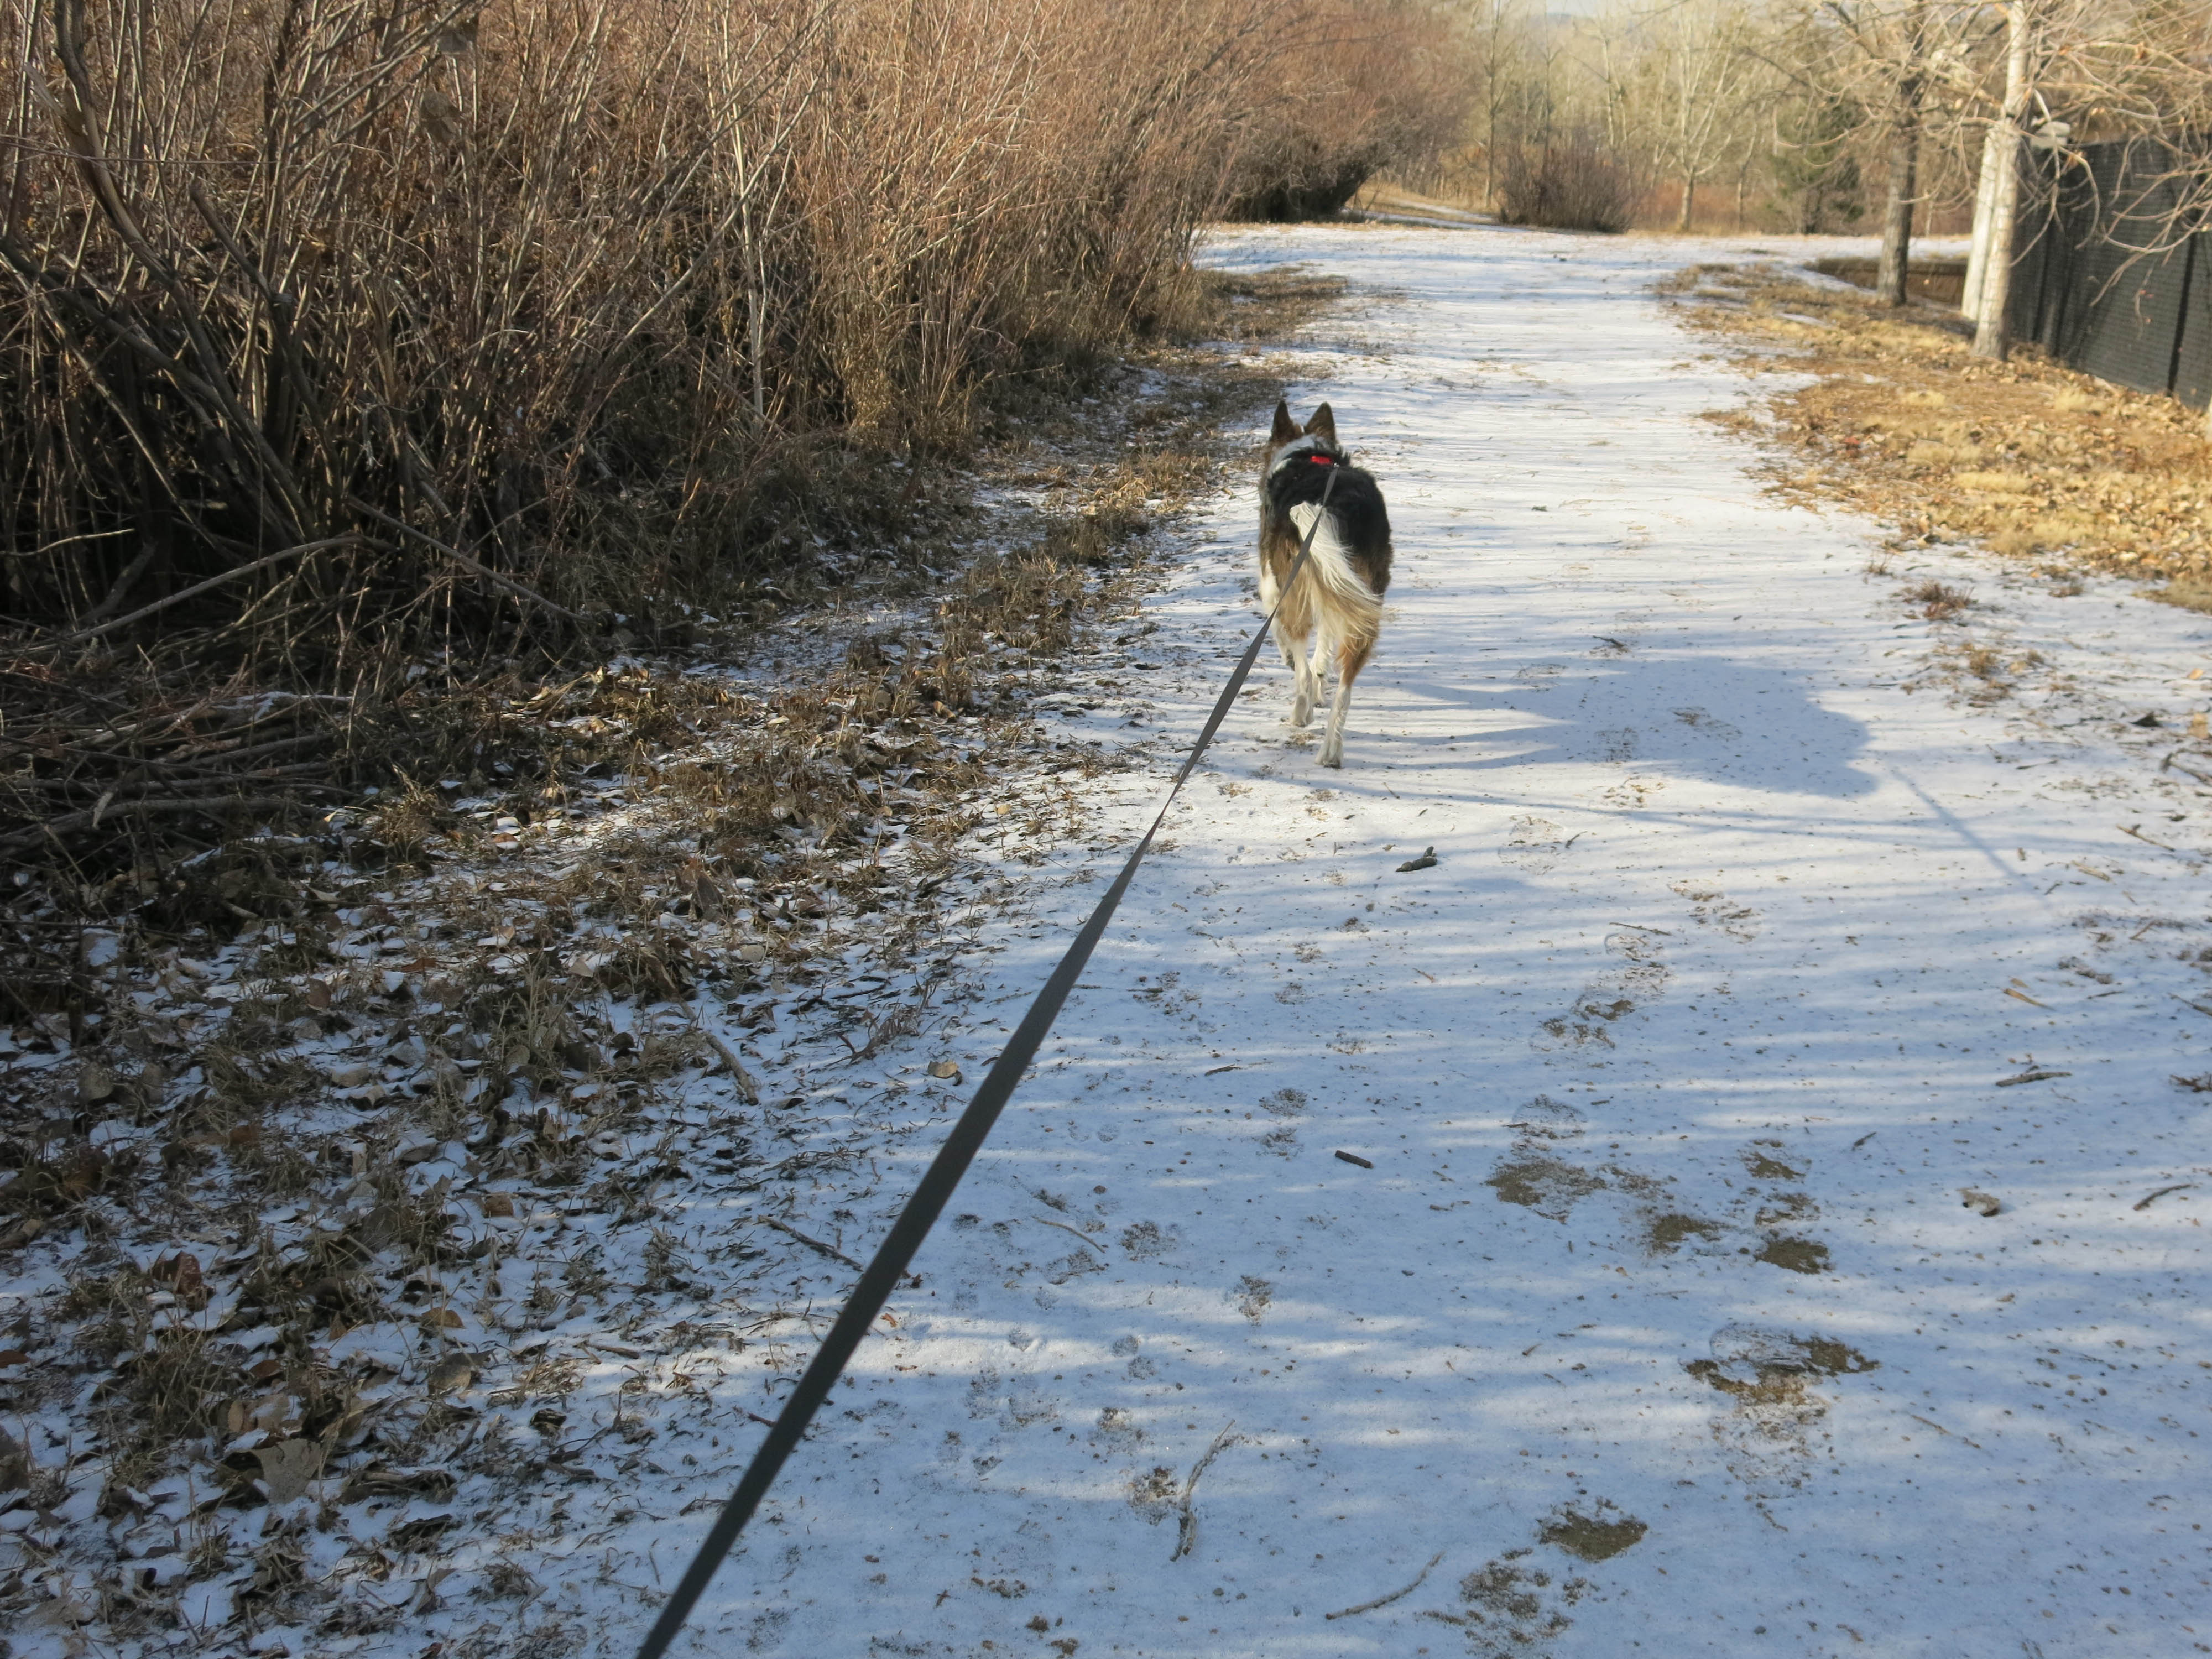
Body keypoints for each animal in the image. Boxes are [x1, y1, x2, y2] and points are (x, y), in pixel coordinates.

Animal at [1257, 400, 1392, 768]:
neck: (1310, 457)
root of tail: (1327, 505)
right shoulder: (1337, 585)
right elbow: (1323, 651)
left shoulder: (1273, 584)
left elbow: (1279, 630)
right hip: (1362, 596)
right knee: (1344, 691)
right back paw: (1331, 752)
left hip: (1296, 589)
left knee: (1301, 666)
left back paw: (1300, 714)